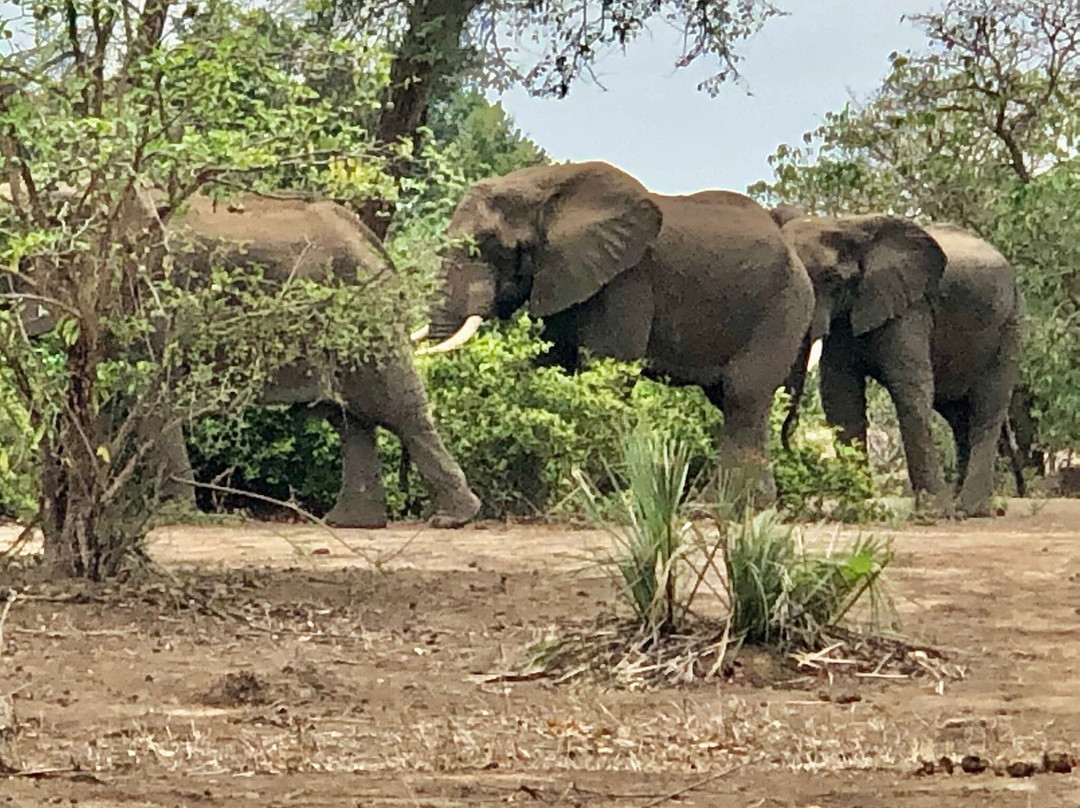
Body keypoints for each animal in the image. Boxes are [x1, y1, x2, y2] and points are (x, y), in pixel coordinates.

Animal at [412, 159, 812, 494]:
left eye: (488, 247)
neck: (544, 185)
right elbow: (552, 366)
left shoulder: (626, 278)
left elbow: (609, 370)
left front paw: (590, 494)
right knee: (731, 399)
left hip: (783, 307)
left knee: (743, 395)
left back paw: (726, 507)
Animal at [773, 205, 1015, 514]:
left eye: (832, 279)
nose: (791, 453)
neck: (848, 227)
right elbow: (840, 396)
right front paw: (855, 507)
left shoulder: (911, 306)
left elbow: (909, 388)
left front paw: (933, 513)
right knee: (959, 416)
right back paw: (963, 505)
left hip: (1010, 324)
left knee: (987, 407)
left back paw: (970, 510)